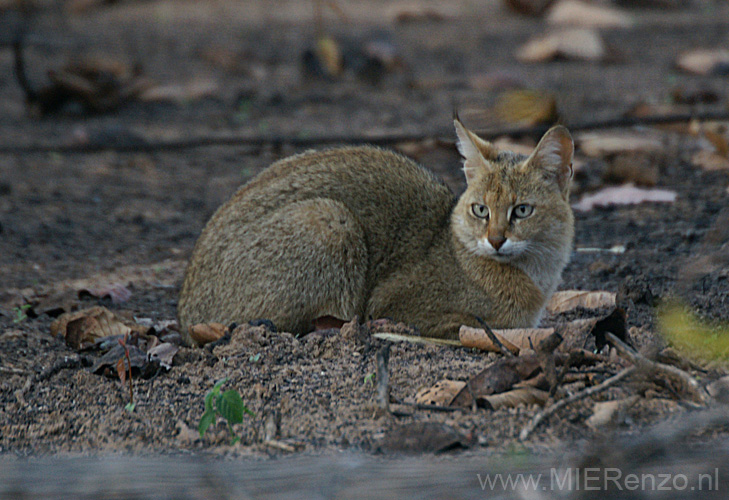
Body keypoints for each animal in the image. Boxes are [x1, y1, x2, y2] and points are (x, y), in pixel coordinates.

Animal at [178, 120, 576, 346]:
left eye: (521, 210)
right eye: (482, 210)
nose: (495, 240)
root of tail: (183, 314)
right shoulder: (394, 304)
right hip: (330, 219)